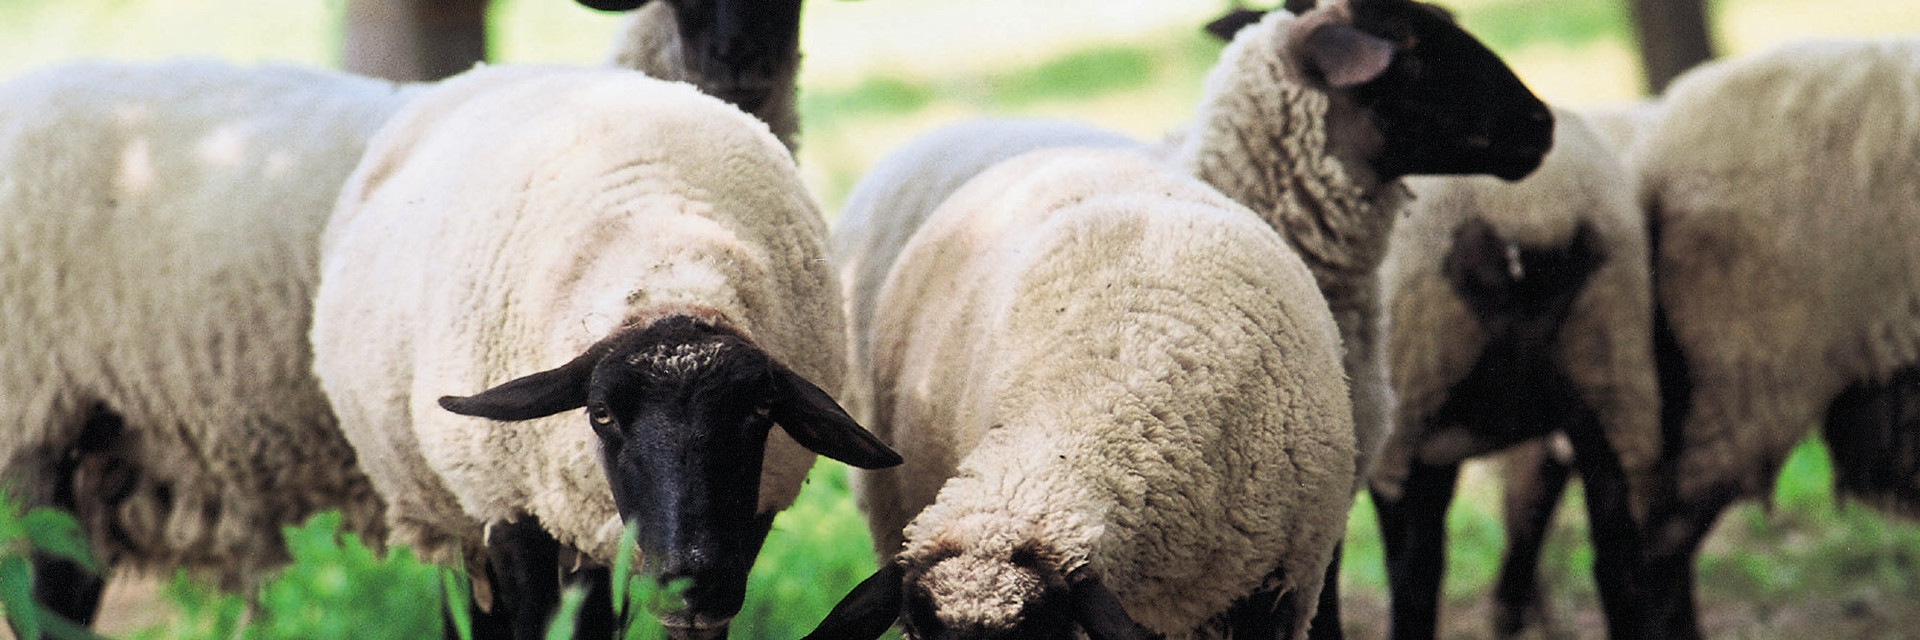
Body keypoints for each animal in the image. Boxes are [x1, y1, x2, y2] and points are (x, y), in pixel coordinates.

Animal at [308, 64, 900, 640]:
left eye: (761, 410)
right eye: (601, 413)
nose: (690, 581)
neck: (668, 269)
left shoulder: (748, 524)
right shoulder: (511, 512)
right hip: (466, 515)